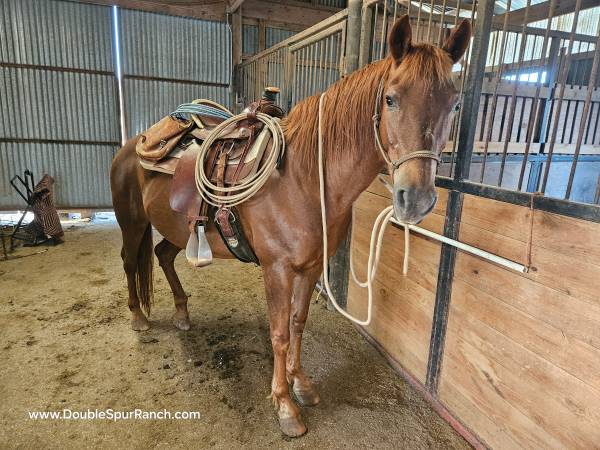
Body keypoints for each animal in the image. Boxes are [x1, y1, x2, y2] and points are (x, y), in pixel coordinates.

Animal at [110, 15, 471, 437]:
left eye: (455, 103)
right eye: (391, 98)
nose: (414, 199)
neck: (303, 179)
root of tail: (132, 145)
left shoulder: (311, 267)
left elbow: (298, 323)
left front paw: (302, 385)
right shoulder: (277, 270)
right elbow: (279, 333)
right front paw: (284, 405)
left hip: (176, 230)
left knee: (162, 255)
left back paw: (183, 314)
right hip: (132, 222)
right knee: (130, 261)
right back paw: (138, 317)